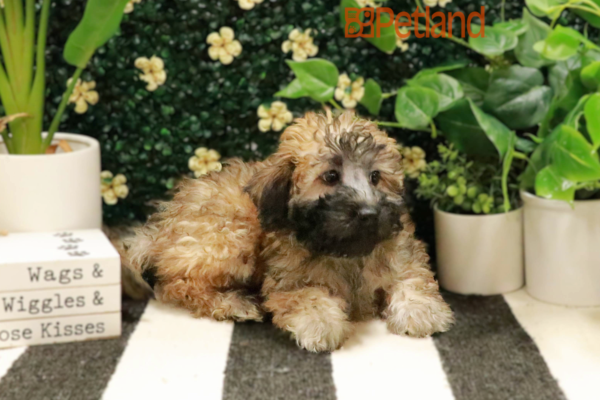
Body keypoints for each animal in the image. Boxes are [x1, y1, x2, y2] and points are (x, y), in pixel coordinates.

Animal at [121, 111, 454, 352]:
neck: (344, 249)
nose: (369, 213)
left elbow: (413, 279)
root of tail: (159, 231)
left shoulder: (403, 254)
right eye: (330, 176)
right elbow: (308, 296)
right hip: (229, 235)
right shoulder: (288, 280)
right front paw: (320, 322)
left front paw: (420, 311)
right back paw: (233, 304)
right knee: (178, 285)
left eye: (375, 177)